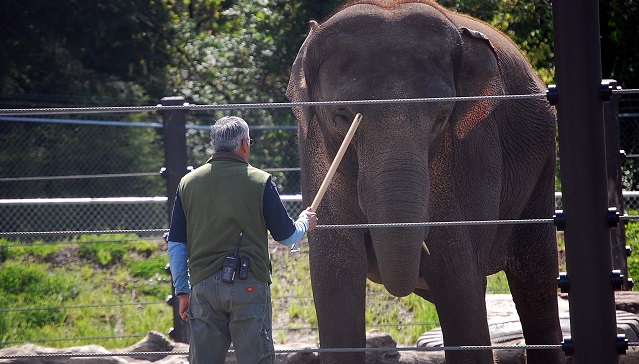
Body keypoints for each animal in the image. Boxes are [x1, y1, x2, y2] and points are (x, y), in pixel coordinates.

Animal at [288, 1, 564, 362]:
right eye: (342, 117)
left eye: (442, 117)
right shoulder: (316, 151)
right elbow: (336, 284)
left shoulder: (465, 159)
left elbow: (458, 283)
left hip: (542, 164)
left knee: (535, 280)